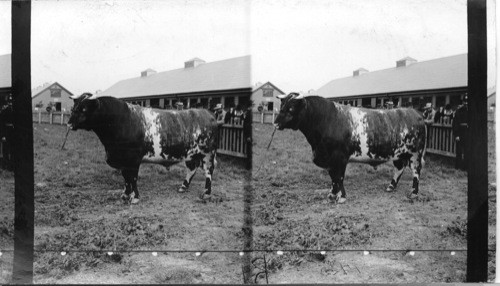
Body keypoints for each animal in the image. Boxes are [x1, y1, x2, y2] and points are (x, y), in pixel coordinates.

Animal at [68, 93, 219, 203]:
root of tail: (207, 113)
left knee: (208, 171)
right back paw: (183, 187)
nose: (69, 123)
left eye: (84, 109)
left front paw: (134, 197)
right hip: (191, 154)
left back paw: (206, 194)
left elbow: (133, 178)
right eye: (74, 107)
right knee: (192, 168)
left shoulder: (133, 159)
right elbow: (126, 178)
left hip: (208, 153)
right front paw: (125, 195)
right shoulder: (123, 160)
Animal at [274, 93, 426, 203]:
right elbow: (333, 177)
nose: (276, 123)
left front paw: (341, 197)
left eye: (291, 108)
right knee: (400, 167)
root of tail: (415, 113)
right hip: (399, 153)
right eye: (282, 106)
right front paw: (331, 194)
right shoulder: (329, 159)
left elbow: (339, 177)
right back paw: (391, 186)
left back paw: (414, 193)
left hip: (415, 154)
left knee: (416, 171)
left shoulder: (340, 157)